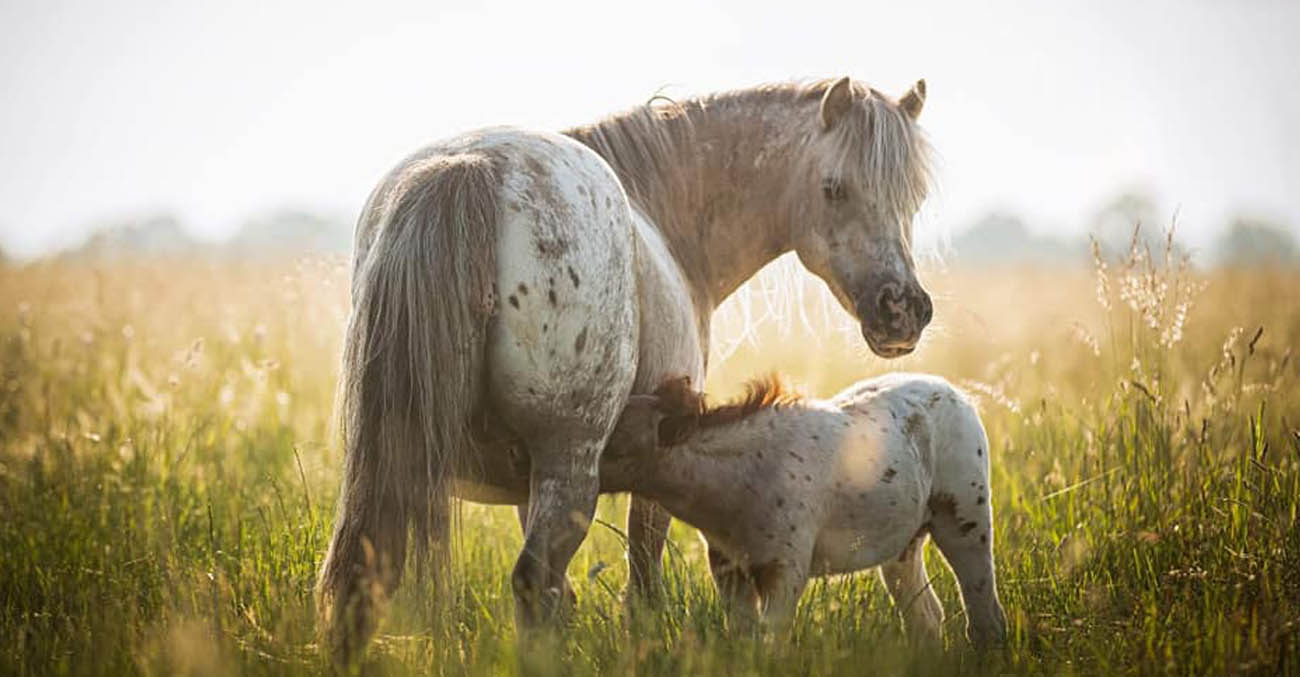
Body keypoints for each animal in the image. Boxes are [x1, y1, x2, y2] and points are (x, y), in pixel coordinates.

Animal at [314, 76, 935, 662]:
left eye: (914, 197)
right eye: (835, 188)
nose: (903, 309)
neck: (664, 216)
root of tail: (470, 168)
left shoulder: (525, 479)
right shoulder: (659, 455)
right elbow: (643, 581)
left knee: (369, 577)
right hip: (569, 458)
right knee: (533, 580)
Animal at [603, 371, 1008, 647]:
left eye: (615, 440)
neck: (740, 478)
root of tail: (959, 395)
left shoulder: (784, 570)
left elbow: (772, 641)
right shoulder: (728, 568)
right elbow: (744, 639)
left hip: (965, 524)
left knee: (986, 617)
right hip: (901, 548)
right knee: (925, 617)